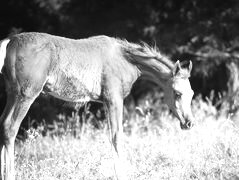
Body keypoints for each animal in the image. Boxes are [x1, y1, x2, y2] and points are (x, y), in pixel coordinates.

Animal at [0, 32, 194, 180]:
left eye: (191, 93)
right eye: (177, 93)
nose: (189, 123)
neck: (126, 59)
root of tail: (9, 42)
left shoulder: (107, 102)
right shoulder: (114, 99)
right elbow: (117, 138)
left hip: (12, 94)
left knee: (3, 124)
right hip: (26, 94)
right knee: (10, 127)